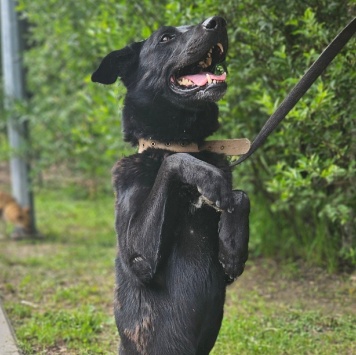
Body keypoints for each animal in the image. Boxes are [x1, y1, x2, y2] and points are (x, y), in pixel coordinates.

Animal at [92, 16, 249, 355]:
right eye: (165, 38)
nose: (217, 22)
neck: (181, 140)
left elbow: (239, 195)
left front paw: (232, 250)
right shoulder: (138, 259)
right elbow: (176, 161)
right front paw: (208, 177)